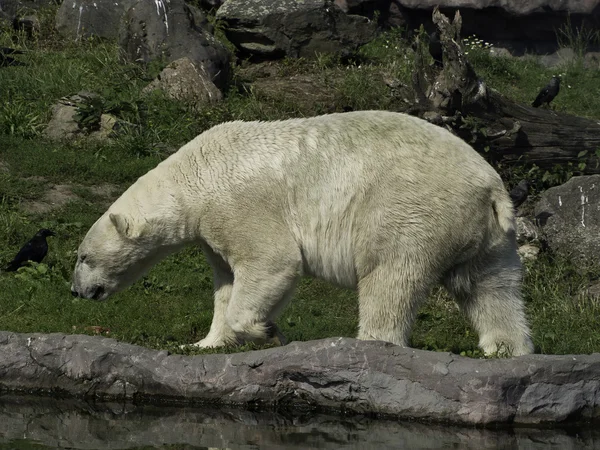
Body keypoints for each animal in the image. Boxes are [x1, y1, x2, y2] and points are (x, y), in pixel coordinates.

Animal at [70, 110, 536, 356]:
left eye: (83, 257)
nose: (77, 291)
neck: (195, 175)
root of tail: (492, 188)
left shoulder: (238, 204)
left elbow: (271, 262)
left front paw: (267, 332)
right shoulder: (213, 232)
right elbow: (225, 282)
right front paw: (205, 343)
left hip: (411, 210)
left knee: (391, 278)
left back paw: (370, 343)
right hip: (488, 235)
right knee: (490, 288)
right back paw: (504, 350)